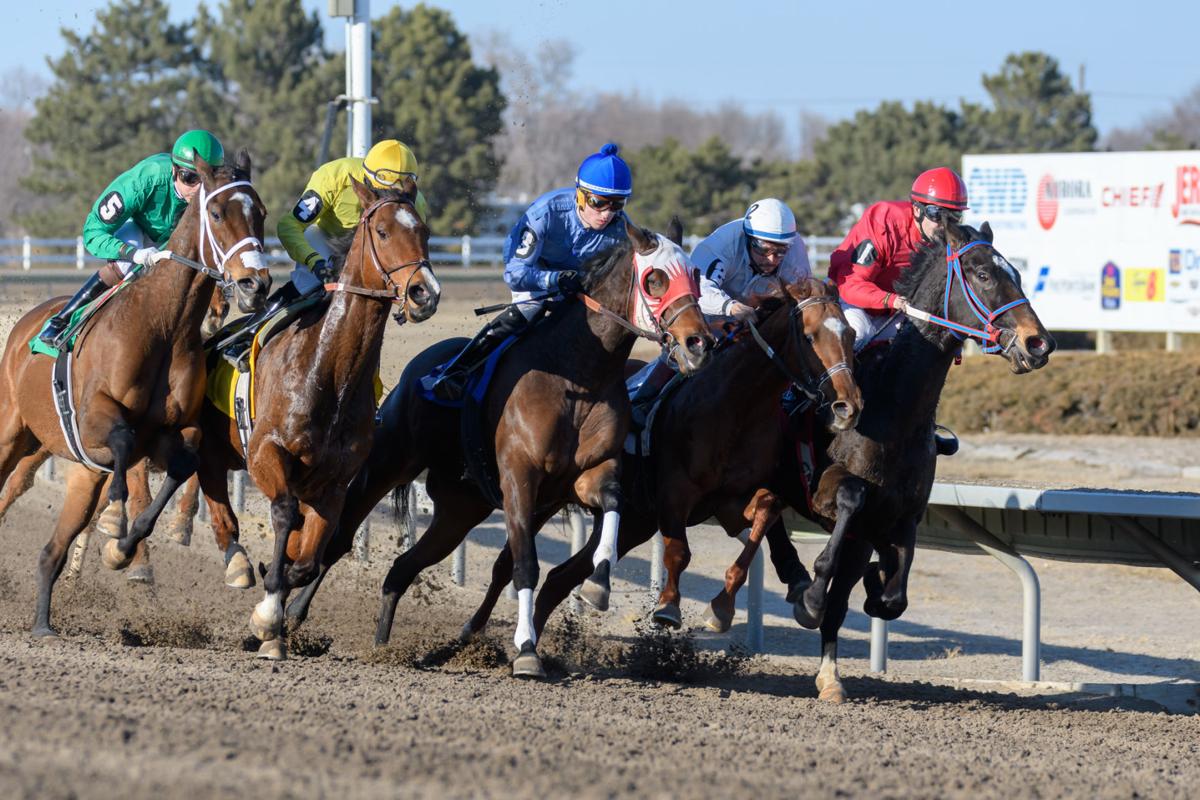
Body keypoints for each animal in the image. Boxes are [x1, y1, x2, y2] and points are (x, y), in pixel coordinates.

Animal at [0, 153, 271, 633]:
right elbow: (124, 441)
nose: (255, 284)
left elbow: (184, 463)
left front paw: (123, 548)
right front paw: (115, 519)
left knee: (51, 549)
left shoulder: (176, 429)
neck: (163, 324)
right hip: (12, 431)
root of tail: (24, 324)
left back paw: (43, 624)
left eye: (261, 213)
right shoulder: (94, 417)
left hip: (59, 458)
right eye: (217, 213)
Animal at [194, 176, 444, 657]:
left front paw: (277, 611)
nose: (425, 293)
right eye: (382, 231)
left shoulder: (333, 484)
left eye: (424, 231)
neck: (327, 372)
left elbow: (308, 558)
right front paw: (268, 614)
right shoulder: (266, 453)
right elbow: (284, 513)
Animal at [283, 219, 710, 676]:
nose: (699, 343)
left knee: (402, 568)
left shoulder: (591, 474)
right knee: (341, 537)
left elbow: (610, 507)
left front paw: (597, 584)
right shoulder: (520, 478)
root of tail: (421, 365)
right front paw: (525, 651)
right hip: (388, 462)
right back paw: (292, 616)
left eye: (696, 276)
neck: (579, 373)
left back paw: (383, 645)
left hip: (460, 508)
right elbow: (524, 566)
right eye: (655, 279)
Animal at [458, 275, 864, 642]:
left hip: (631, 521)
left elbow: (765, 513)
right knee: (509, 564)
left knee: (560, 578)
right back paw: (471, 631)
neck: (738, 407)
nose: (847, 406)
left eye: (850, 335)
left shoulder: (729, 502)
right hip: (548, 496)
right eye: (810, 336)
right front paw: (668, 607)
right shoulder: (675, 492)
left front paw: (721, 608)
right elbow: (679, 550)